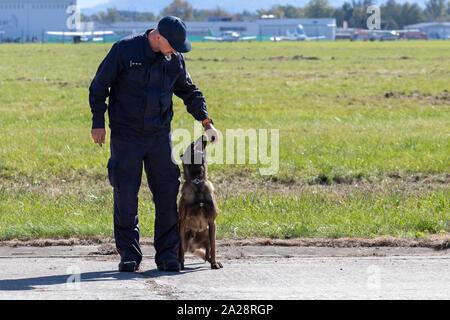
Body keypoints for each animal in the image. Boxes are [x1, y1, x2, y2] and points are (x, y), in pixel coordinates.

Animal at [178, 136, 223, 270]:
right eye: (192, 144)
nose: (204, 136)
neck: (197, 180)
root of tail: (191, 247)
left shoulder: (212, 222)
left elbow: (213, 248)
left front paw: (214, 263)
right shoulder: (182, 221)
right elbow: (180, 249)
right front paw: (180, 263)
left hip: (208, 233)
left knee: (208, 252)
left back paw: (213, 261)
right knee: (180, 249)